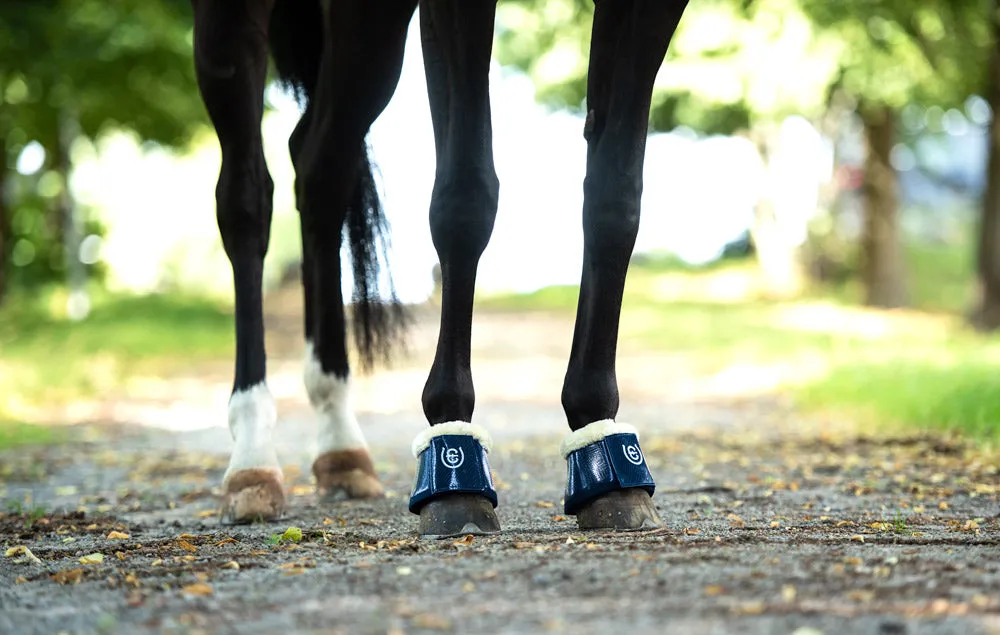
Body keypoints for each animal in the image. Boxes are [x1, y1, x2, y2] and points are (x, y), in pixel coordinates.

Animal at [188, 0, 688, 536]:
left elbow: (614, 200)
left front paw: (600, 443)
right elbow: (465, 196)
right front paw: (454, 457)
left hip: (370, 30)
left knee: (320, 170)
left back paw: (340, 443)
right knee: (246, 197)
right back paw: (252, 456)